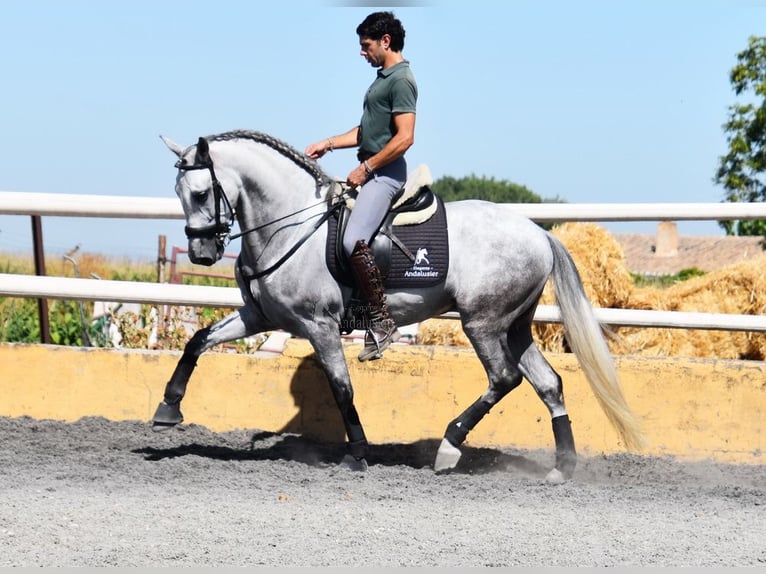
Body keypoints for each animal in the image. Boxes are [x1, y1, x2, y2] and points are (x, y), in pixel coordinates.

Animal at [153, 129, 644, 482]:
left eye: (201, 193)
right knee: (549, 384)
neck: (290, 226)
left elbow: (341, 387)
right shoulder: (261, 316)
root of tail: (540, 233)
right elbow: (198, 340)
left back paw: (448, 447)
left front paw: (357, 455)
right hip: (515, 326)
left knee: (504, 379)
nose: (201, 254)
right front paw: (167, 410)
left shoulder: (318, 324)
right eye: (178, 192)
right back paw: (562, 468)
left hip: (482, 322)